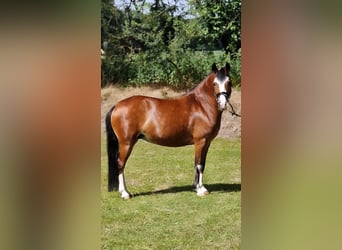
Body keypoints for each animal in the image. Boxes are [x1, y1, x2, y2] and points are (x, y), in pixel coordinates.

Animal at [105, 63, 231, 199]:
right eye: (214, 83)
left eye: (229, 81)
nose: (223, 103)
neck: (201, 105)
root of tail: (117, 105)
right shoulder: (200, 142)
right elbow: (198, 164)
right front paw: (200, 189)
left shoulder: (206, 143)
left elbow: (201, 164)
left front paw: (199, 187)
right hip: (126, 143)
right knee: (120, 164)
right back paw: (125, 193)